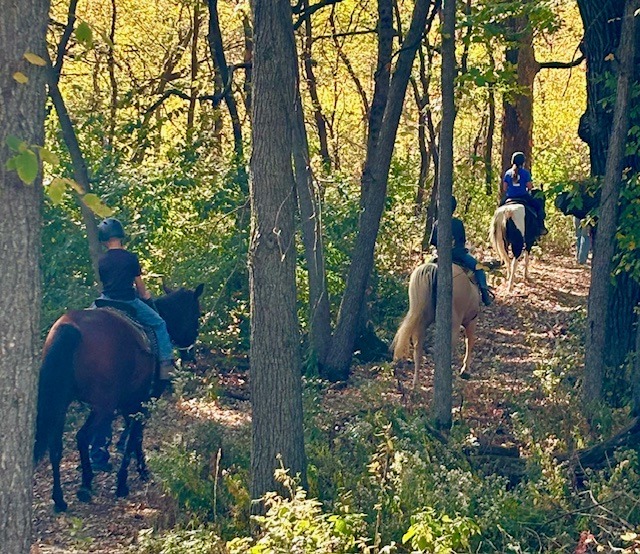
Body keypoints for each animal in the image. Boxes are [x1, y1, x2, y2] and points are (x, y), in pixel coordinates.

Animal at [34, 282, 202, 512]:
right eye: (196, 315)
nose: (190, 355)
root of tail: (69, 329)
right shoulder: (144, 401)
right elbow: (135, 436)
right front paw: (127, 480)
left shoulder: (129, 402)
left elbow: (133, 435)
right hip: (103, 405)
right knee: (82, 436)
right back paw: (86, 484)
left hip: (61, 403)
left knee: (56, 446)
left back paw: (59, 499)